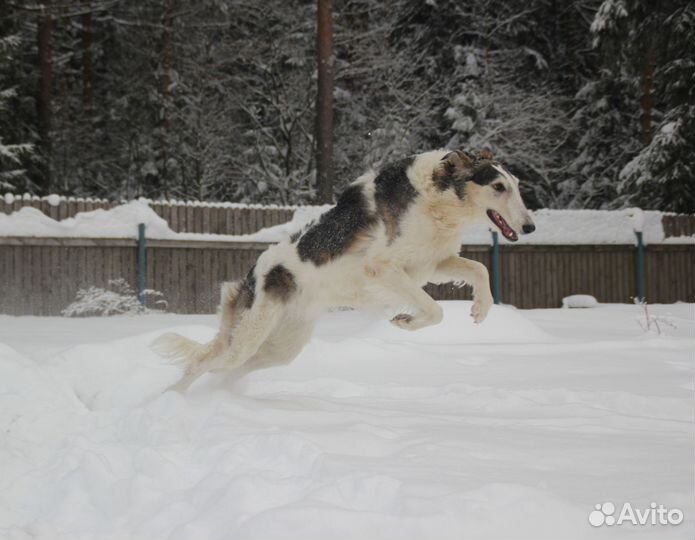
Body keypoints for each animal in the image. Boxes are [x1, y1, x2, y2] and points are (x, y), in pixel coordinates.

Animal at [158, 150, 536, 390]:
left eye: (516, 185)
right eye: (498, 187)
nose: (530, 227)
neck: (434, 195)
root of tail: (250, 278)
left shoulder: (432, 261)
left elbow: (479, 269)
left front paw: (481, 308)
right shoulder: (383, 268)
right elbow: (434, 309)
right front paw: (406, 321)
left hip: (277, 348)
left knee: (227, 372)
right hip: (248, 337)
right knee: (200, 364)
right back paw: (172, 402)